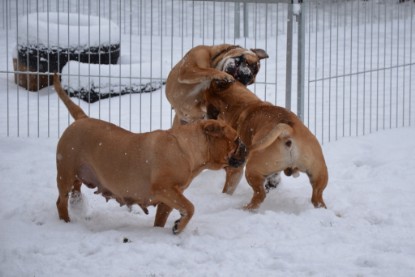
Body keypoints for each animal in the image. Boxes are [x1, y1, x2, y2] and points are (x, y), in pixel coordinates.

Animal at [52, 73, 247, 233]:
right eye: (236, 139)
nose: (245, 146)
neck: (187, 149)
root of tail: (81, 118)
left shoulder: (169, 199)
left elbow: (165, 217)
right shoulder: (165, 189)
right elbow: (190, 207)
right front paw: (179, 227)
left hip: (77, 173)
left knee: (75, 190)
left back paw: (77, 205)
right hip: (65, 172)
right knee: (61, 201)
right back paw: (66, 222)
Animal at [205, 80, 328, 209]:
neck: (244, 105)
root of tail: (287, 130)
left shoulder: (235, 168)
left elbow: (228, 187)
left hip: (252, 168)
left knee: (260, 195)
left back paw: (246, 208)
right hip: (319, 173)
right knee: (318, 196)